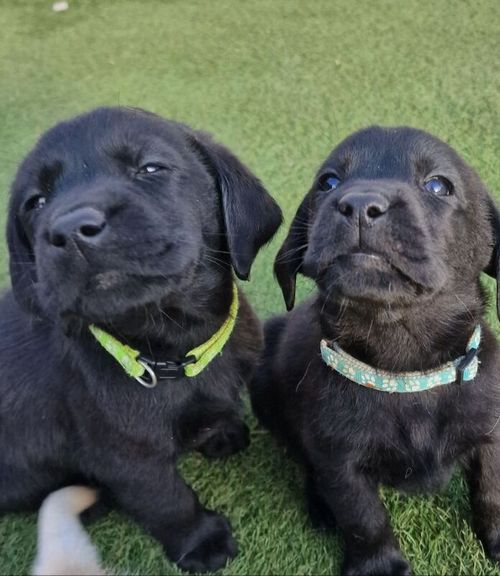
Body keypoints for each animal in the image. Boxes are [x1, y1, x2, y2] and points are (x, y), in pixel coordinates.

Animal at [0, 107, 282, 572]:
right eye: (35, 202)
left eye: (150, 168)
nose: (71, 229)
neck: (174, 349)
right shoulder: (127, 458)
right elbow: (167, 500)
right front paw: (201, 542)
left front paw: (221, 432)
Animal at [250, 127, 500, 576]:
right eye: (328, 182)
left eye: (438, 185)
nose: (360, 205)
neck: (405, 375)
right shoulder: (339, 460)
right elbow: (363, 518)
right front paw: (379, 566)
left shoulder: (492, 432)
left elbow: (491, 490)